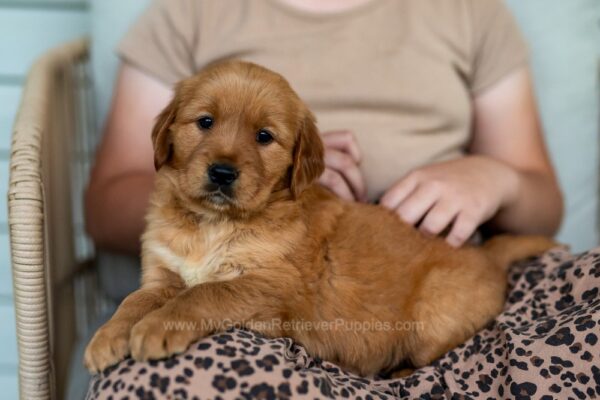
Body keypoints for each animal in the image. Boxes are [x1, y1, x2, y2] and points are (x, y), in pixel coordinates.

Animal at [83, 61, 552, 376]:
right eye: (205, 121)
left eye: (264, 137)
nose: (222, 172)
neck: (214, 223)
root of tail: (487, 254)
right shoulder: (162, 273)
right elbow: (135, 300)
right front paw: (109, 336)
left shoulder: (270, 286)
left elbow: (204, 294)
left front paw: (156, 328)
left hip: (431, 318)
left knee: (424, 357)